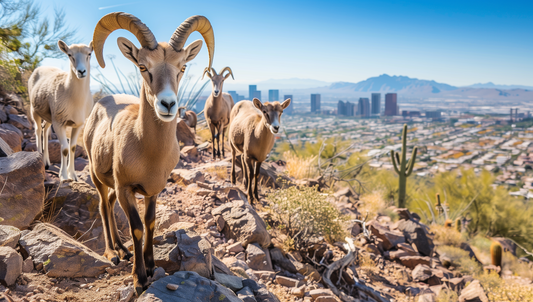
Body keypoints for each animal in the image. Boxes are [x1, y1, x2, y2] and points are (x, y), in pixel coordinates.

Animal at [27, 40, 93, 182]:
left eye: (89, 54)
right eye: (69, 55)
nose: (81, 71)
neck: (75, 99)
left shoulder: (78, 124)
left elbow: (72, 148)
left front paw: (73, 175)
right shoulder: (59, 123)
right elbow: (64, 149)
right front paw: (63, 176)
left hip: (49, 116)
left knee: (45, 130)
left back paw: (47, 162)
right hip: (35, 111)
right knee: (38, 130)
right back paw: (40, 157)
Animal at [83, 13, 214, 294]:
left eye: (182, 68)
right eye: (143, 67)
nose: (167, 104)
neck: (147, 152)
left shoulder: (152, 191)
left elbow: (150, 223)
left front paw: (152, 265)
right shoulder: (126, 189)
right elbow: (137, 228)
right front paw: (140, 279)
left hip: (114, 185)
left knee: (110, 204)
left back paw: (122, 250)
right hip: (96, 176)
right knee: (103, 205)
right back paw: (112, 253)